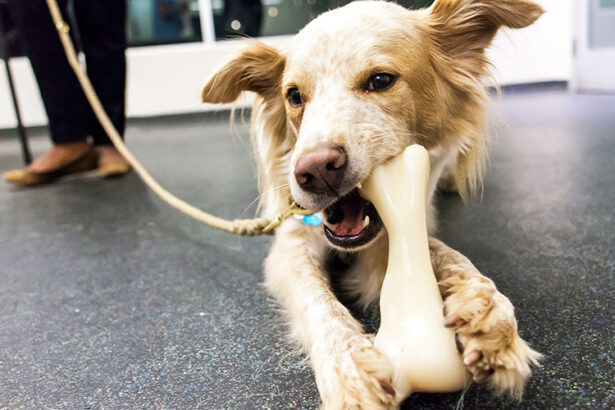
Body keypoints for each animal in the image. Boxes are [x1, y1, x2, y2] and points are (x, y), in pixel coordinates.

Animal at [202, 1, 544, 408]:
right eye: (294, 96)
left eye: (380, 80)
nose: (314, 171)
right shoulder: (291, 245)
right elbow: (318, 303)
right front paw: (350, 370)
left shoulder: (405, 225)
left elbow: (452, 257)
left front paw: (490, 313)